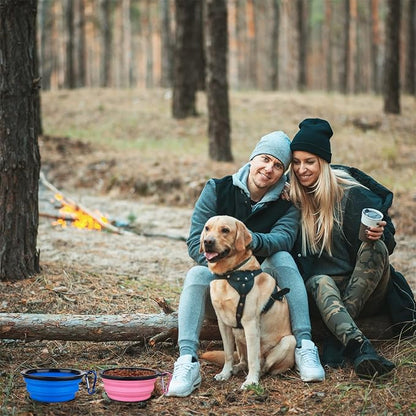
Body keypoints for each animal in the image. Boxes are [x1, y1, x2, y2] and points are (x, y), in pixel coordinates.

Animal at [199, 216, 294, 388]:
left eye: (225, 230)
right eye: (207, 228)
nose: (207, 241)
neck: (230, 275)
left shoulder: (250, 324)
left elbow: (253, 359)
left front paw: (251, 381)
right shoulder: (223, 324)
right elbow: (228, 354)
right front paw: (225, 373)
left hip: (289, 341)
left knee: (264, 364)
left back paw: (256, 375)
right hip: (238, 337)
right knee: (243, 360)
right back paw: (236, 368)